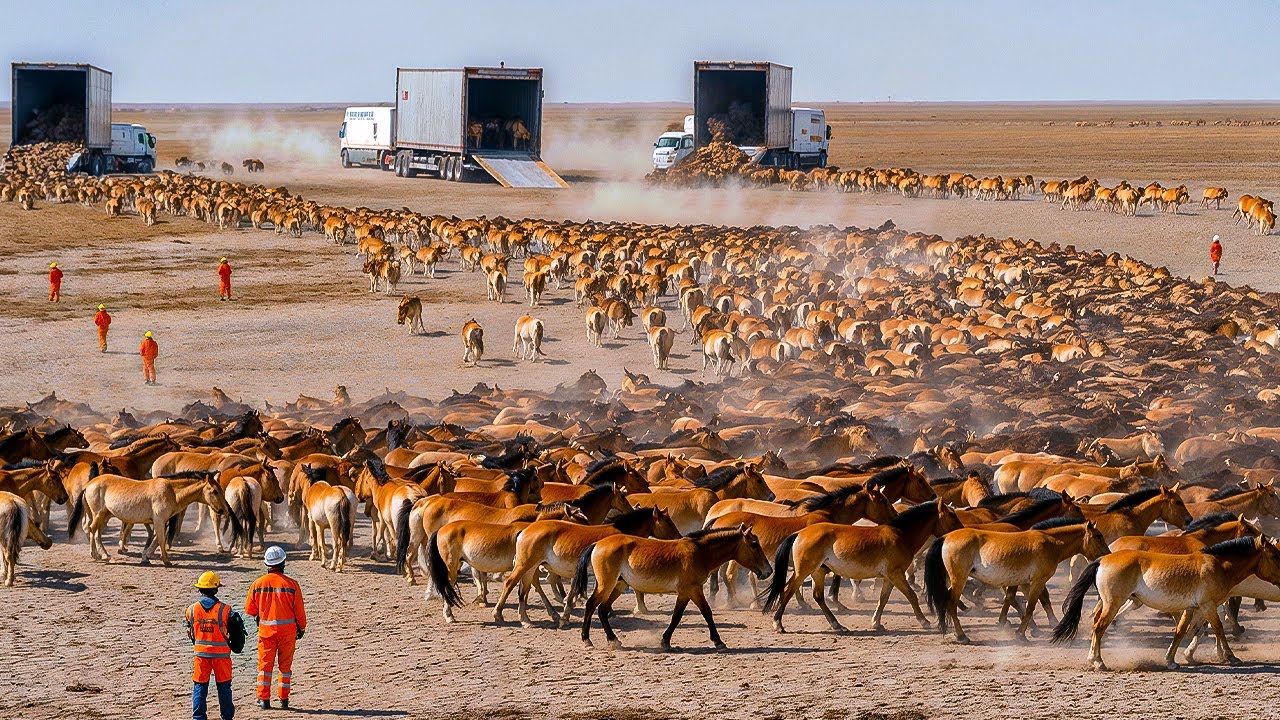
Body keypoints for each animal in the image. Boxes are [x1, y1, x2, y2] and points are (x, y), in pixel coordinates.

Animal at [574, 524, 772, 650]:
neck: (700, 552)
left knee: (602, 610)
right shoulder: (692, 590)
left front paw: (665, 641)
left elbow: (677, 616)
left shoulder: (685, 593)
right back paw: (586, 640)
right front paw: (718, 642)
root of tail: (598, 544)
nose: (768, 571)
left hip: (618, 586)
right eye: (754, 544)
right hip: (606, 585)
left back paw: (613, 640)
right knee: (591, 605)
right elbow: (704, 613)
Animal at [763, 499, 963, 633]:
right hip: (803, 571)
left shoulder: (890, 577)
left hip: (818, 572)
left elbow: (883, 599)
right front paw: (924, 621)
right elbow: (911, 596)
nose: (962, 530)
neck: (901, 534)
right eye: (952, 515)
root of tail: (799, 533)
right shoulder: (896, 574)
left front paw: (876, 622)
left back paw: (837, 625)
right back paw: (778, 624)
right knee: (788, 590)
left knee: (818, 596)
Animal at [924, 517, 1109, 642]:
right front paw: (1021, 634)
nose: (1107, 555)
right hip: (959, 579)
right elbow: (1032, 606)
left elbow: (1011, 599)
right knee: (951, 603)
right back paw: (961, 635)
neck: (1051, 544)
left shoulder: (1018, 582)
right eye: (1098, 536)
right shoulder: (1037, 582)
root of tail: (946, 537)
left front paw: (1006, 623)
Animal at [1053, 537, 1280, 670]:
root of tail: (1102, 559)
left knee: (1095, 625)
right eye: (1275, 555)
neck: (1218, 565)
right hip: (1113, 604)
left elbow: (1181, 631)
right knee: (1099, 627)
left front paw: (1171, 660)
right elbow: (1218, 629)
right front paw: (1231, 657)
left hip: (1108, 603)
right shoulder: (1207, 605)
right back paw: (1098, 662)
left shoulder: (1191, 608)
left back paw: (1093, 659)